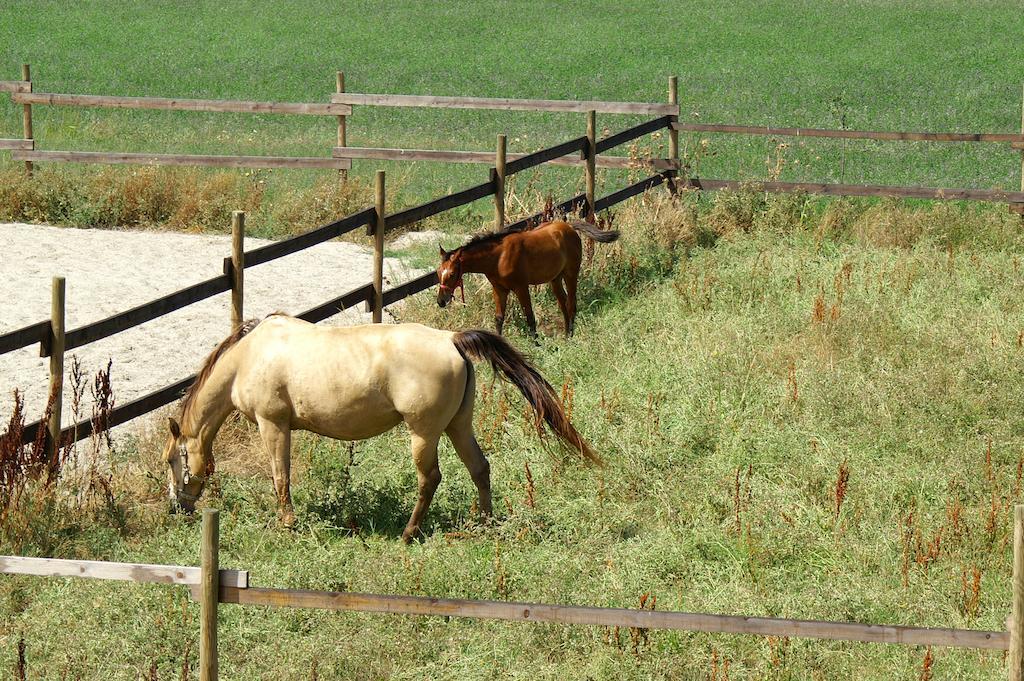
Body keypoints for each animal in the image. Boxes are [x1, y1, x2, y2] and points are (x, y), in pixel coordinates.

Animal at [161, 313, 598, 540]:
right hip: (458, 426)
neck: (248, 358)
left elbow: (280, 477)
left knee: (430, 479)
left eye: (170, 461)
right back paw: (484, 523)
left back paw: (409, 532)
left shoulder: (274, 426)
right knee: (479, 468)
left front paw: (287, 524)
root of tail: (451, 339)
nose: (177, 508)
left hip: (423, 434)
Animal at [438, 220, 618, 337]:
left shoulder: (521, 288)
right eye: (438, 273)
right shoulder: (499, 289)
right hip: (555, 279)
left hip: (571, 274)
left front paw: (537, 344)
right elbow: (499, 318)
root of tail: (569, 227)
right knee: (563, 304)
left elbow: (530, 317)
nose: (441, 301)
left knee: (571, 304)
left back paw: (570, 336)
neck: (498, 257)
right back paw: (567, 334)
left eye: (452, 274)